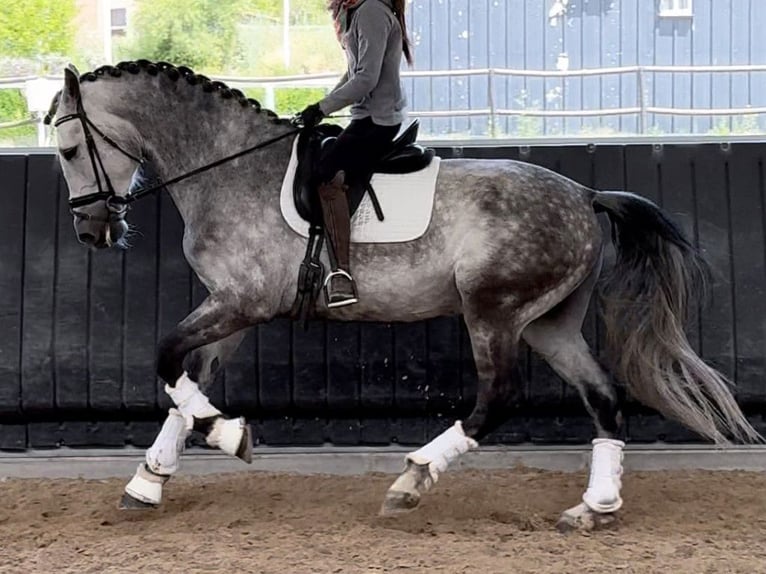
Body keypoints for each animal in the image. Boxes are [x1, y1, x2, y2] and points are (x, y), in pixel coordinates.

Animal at [46, 60, 760, 532]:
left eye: (71, 147)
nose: (90, 230)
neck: (230, 168)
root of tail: (584, 196)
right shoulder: (234, 310)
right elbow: (184, 384)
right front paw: (148, 483)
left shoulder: (241, 303)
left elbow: (167, 362)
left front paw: (232, 438)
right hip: (547, 324)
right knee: (604, 397)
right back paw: (594, 507)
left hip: (493, 310)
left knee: (498, 397)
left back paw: (411, 481)